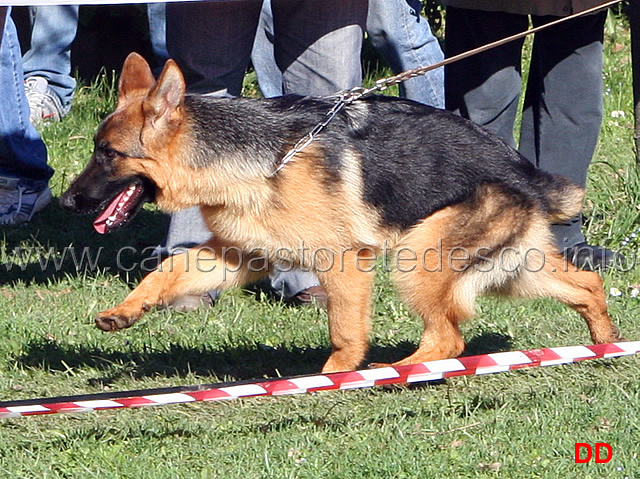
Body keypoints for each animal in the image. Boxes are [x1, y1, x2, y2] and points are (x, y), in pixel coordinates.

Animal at [61, 53, 620, 376]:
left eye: (108, 154)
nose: (67, 202)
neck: (259, 158)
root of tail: (524, 170)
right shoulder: (237, 255)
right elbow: (168, 271)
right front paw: (126, 310)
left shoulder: (344, 263)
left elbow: (345, 332)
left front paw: (334, 377)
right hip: (513, 271)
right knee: (586, 285)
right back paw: (605, 346)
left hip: (419, 260)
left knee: (449, 337)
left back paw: (398, 372)